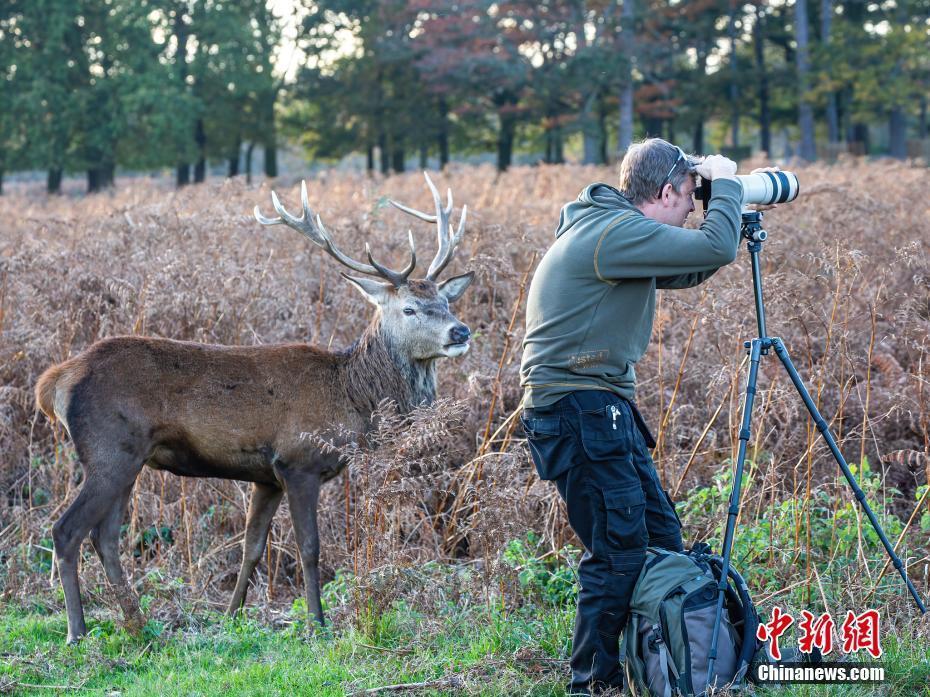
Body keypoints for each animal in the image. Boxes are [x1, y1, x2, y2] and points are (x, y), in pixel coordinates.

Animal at [34, 174, 472, 640]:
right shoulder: (299, 461)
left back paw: (137, 624)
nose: (460, 331)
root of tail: (57, 379)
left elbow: (253, 546)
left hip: (128, 459)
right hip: (108, 451)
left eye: (446, 303)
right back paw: (78, 631)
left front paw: (232, 615)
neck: (351, 398)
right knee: (66, 531)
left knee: (106, 538)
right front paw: (317, 623)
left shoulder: (266, 477)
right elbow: (310, 548)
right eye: (410, 308)